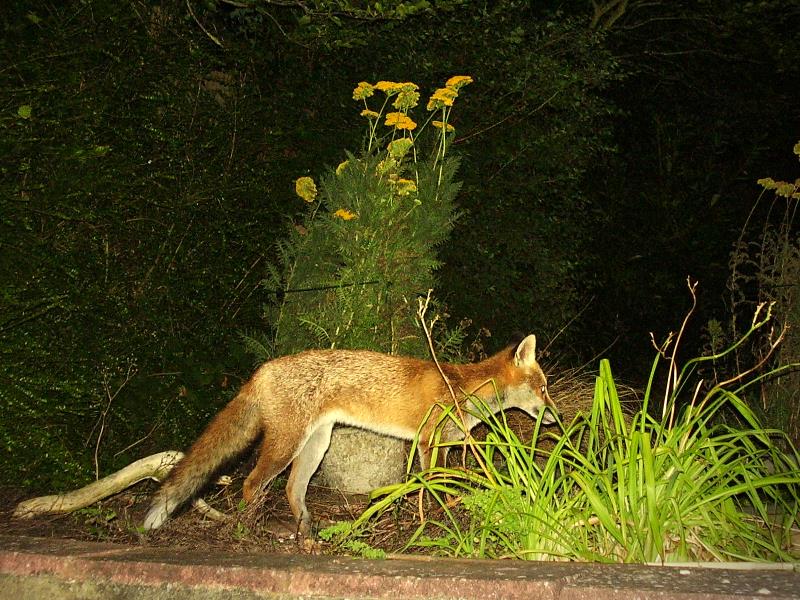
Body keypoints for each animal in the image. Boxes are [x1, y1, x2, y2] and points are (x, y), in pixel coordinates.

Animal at [142, 336, 556, 536]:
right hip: (286, 444)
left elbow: (449, 478)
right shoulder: (428, 442)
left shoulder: (443, 443)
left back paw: (305, 531)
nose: (559, 417)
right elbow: (433, 482)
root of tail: (262, 369)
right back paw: (252, 528)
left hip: (316, 444)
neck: (463, 388)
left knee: (292, 487)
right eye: (543, 389)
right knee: (252, 482)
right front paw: (442, 513)